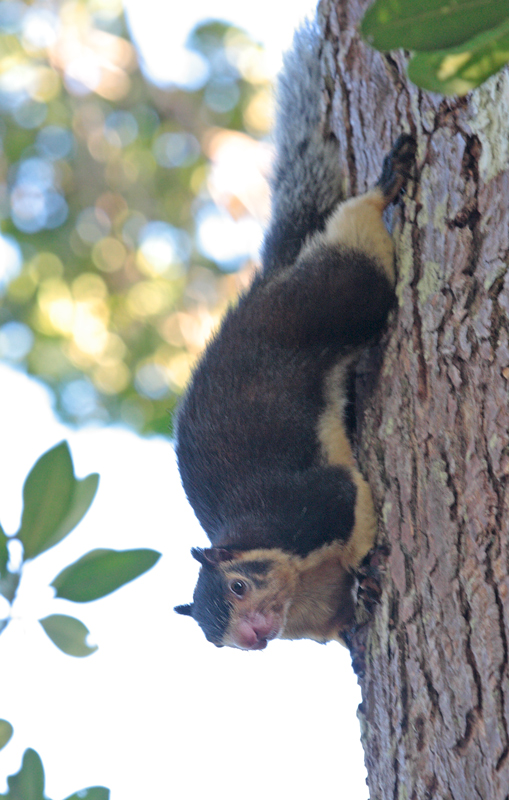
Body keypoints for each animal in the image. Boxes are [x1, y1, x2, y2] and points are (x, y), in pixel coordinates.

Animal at [173, 20, 414, 648]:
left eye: (237, 586)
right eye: (217, 642)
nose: (256, 636)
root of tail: (269, 283)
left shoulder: (307, 507)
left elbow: (351, 503)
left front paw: (364, 566)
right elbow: (337, 623)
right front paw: (357, 608)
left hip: (333, 296)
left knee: (354, 245)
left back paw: (384, 186)